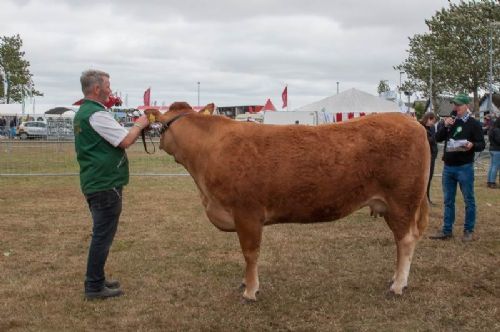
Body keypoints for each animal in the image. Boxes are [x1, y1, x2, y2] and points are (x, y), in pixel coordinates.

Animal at [145, 103, 430, 300]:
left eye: (159, 126)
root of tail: (410, 121)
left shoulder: (247, 212)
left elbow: (250, 253)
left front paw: (250, 291)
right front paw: (245, 283)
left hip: (402, 201)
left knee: (405, 240)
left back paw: (397, 286)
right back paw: (396, 279)